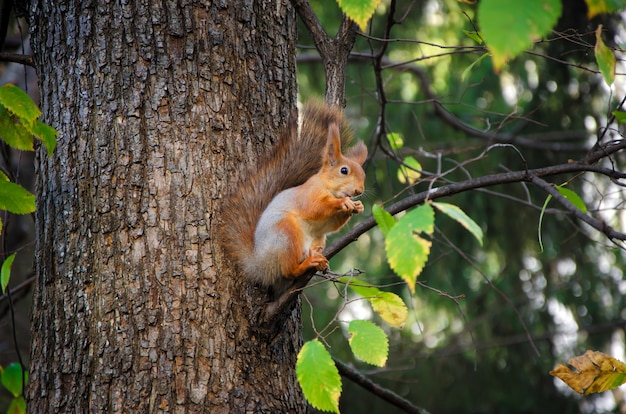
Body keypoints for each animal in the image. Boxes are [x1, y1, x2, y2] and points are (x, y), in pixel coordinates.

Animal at [219, 100, 366, 290]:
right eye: (344, 170)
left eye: (363, 174)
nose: (359, 191)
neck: (329, 188)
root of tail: (259, 265)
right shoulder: (308, 194)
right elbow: (315, 208)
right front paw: (342, 202)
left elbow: (332, 225)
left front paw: (357, 206)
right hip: (285, 232)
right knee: (289, 271)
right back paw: (306, 264)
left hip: (318, 239)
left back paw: (316, 257)